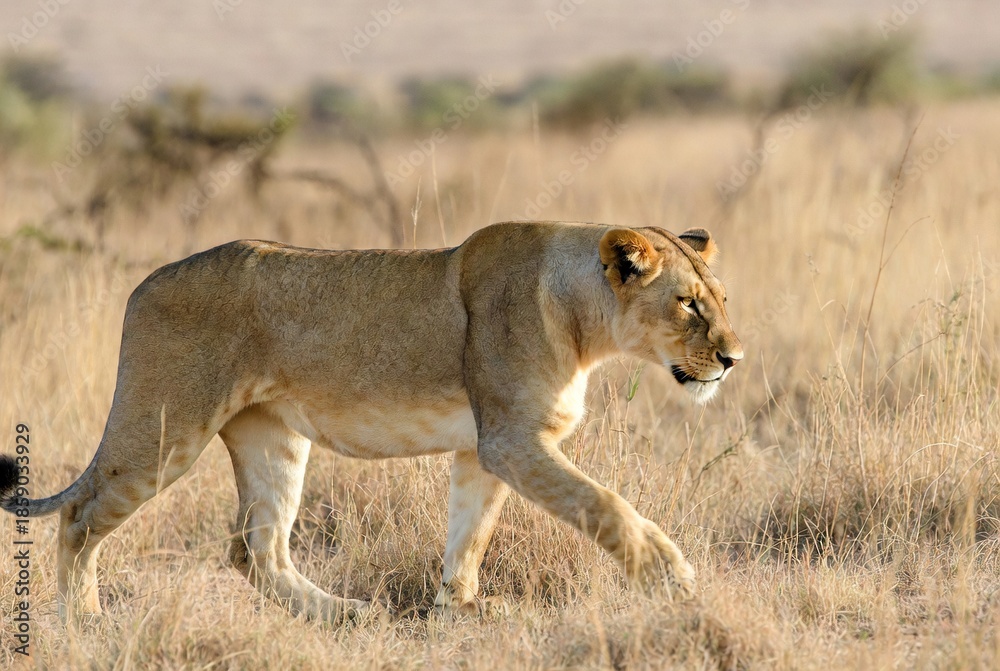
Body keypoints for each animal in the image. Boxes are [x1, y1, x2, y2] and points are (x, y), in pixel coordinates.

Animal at [0, 221, 742, 623]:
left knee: (256, 547)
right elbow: (605, 504)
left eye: (722, 300)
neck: (588, 323)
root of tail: (142, 283)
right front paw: (670, 575)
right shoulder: (513, 440)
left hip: (272, 436)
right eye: (686, 304)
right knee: (81, 516)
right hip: (166, 426)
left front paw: (458, 609)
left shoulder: (485, 448)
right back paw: (85, 622)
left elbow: (469, 532)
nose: (734, 358)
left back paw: (346, 615)